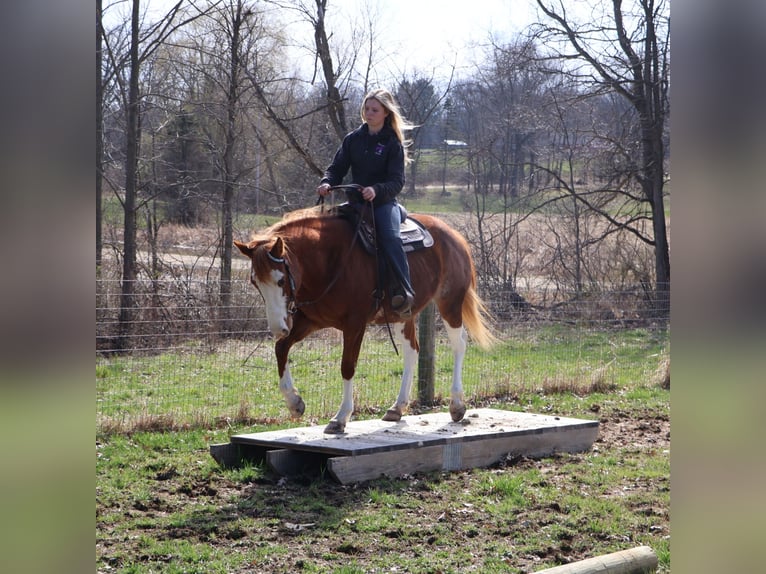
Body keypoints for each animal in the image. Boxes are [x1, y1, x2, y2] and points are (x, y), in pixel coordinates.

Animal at [234, 206, 496, 434]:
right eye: (255, 282)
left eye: (280, 280)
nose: (278, 327)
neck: (329, 261)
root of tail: (454, 236)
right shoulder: (311, 321)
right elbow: (281, 348)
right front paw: (294, 402)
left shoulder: (354, 325)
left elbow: (347, 367)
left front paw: (340, 418)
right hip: (403, 314)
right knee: (412, 350)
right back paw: (397, 407)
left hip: (450, 303)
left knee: (458, 345)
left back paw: (457, 405)